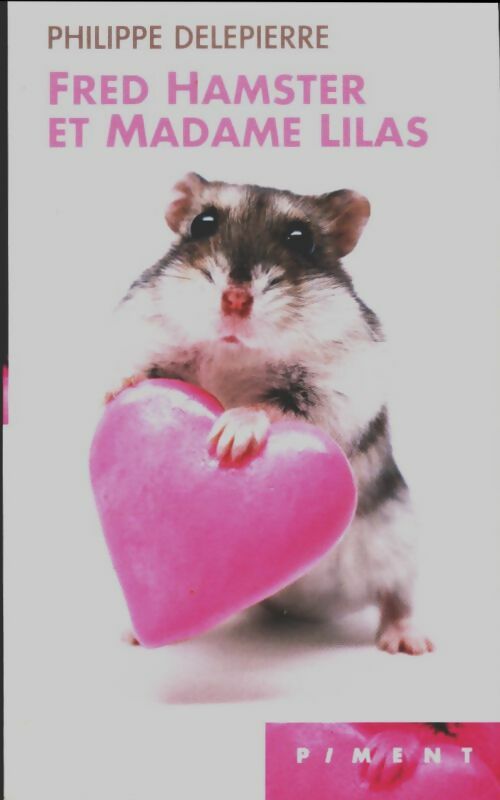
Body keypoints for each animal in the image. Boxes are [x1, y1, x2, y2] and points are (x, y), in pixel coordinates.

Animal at [107, 172, 433, 656]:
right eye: (202, 224)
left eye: (301, 239)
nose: (235, 300)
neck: (235, 353)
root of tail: (308, 605)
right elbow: (139, 370)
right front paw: (116, 389)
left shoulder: (337, 389)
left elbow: (276, 404)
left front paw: (231, 435)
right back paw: (134, 634)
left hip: (399, 543)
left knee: (397, 595)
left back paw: (409, 642)